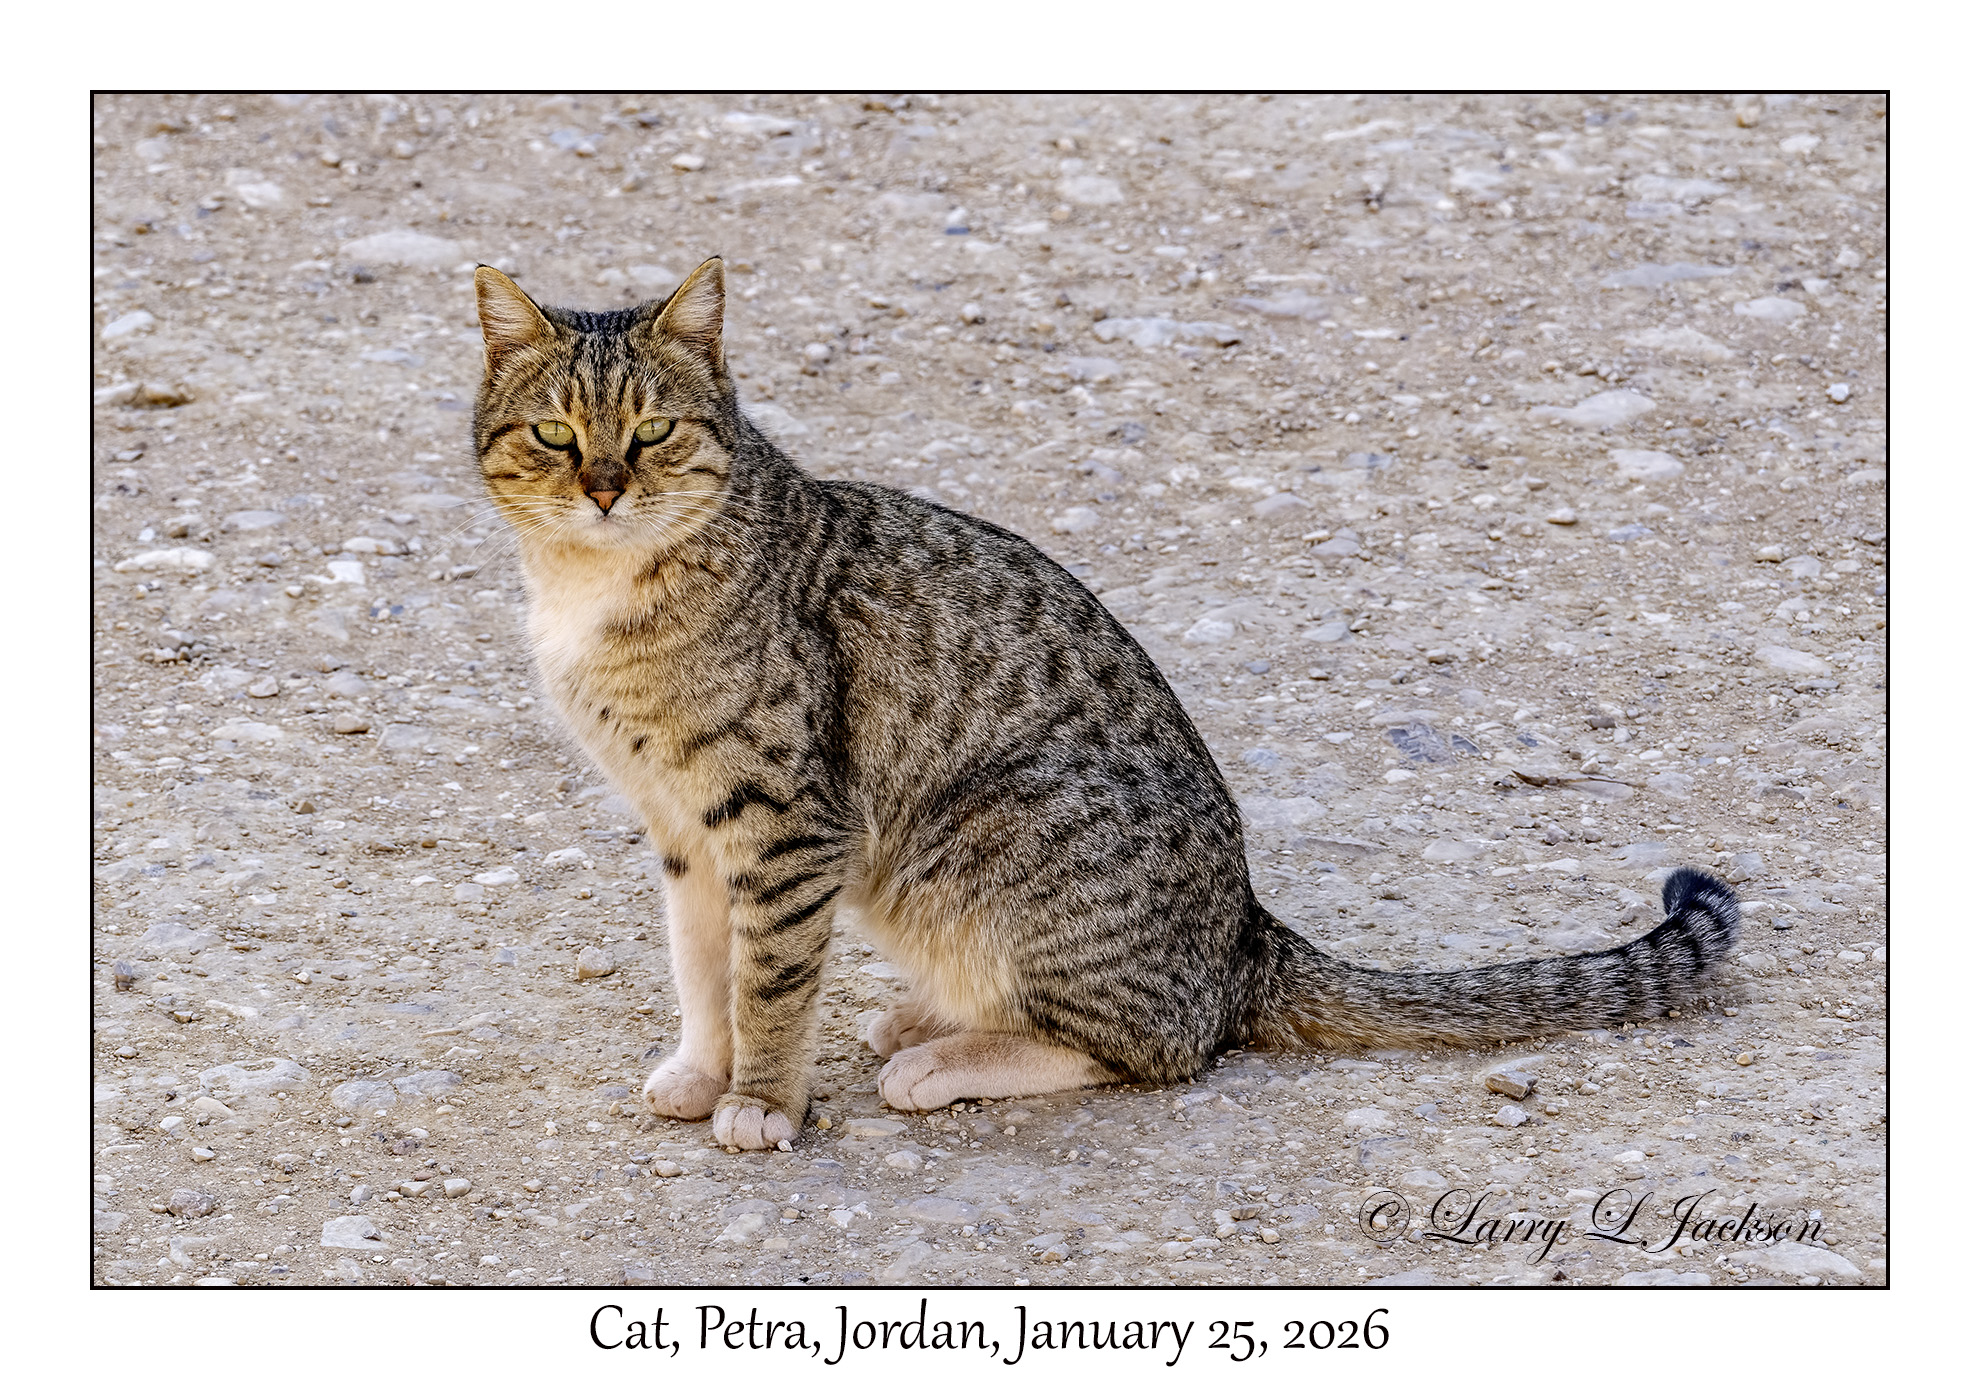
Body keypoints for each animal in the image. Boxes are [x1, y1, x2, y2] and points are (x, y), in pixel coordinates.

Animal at [471, 258, 1741, 1151]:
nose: (603, 488)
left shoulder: (784, 821)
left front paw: (763, 1102)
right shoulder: (684, 822)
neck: (597, 594)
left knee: (1158, 1043)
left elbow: (770, 980)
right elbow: (705, 967)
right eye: (554, 434)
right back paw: (931, 1018)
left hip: (983, 840)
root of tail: (1248, 935)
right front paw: (705, 1069)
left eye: (651, 432)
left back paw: (945, 1055)